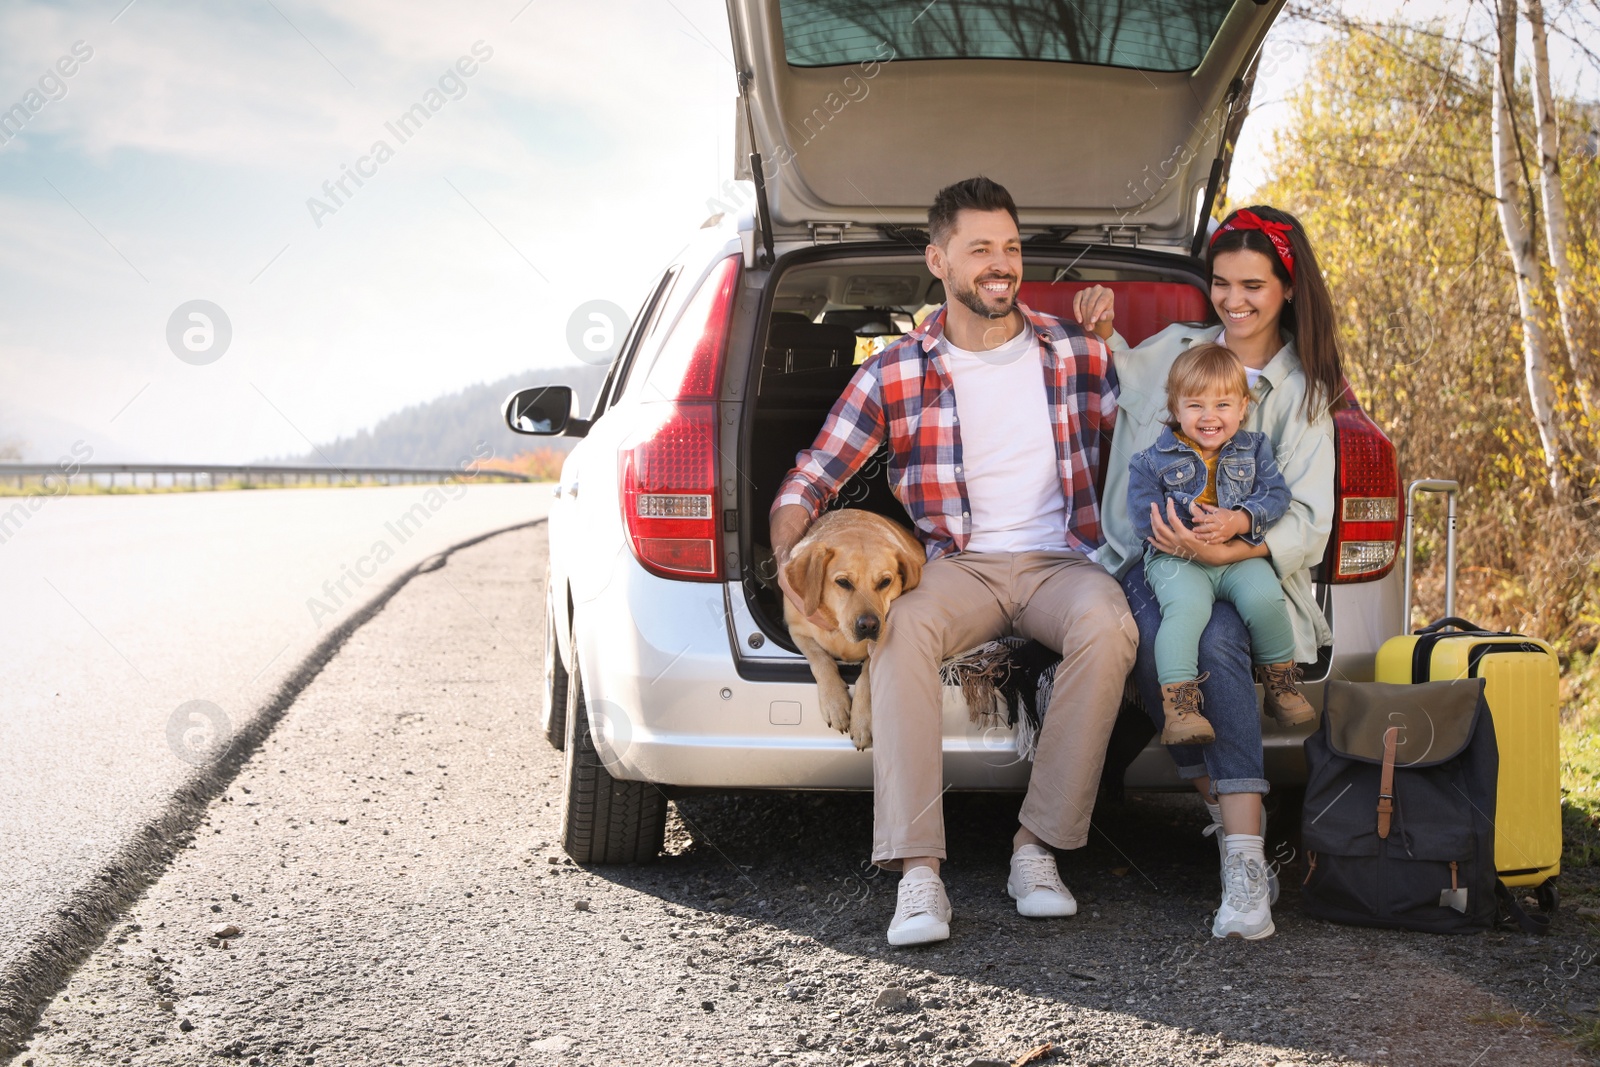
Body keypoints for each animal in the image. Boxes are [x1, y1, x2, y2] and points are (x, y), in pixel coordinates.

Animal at [784, 511, 928, 751]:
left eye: (885, 582)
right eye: (843, 582)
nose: (869, 625)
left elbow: (867, 675)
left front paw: (862, 721)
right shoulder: (797, 631)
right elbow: (821, 659)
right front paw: (834, 702)